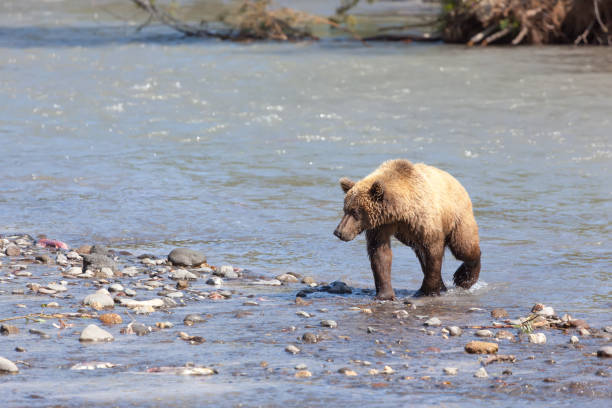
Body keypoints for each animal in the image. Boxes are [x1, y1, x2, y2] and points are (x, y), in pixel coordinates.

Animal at [332, 159, 480, 300]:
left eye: (355, 212)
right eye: (345, 209)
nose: (338, 232)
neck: (400, 211)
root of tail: (457, 182)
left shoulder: (424, 220)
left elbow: (433, 250)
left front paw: (426, 291)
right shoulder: (381, 225)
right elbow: (380, 253)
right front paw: (385, 294)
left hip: (458, 216)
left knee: (463, 247)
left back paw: (464, 278)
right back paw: (443, 286)